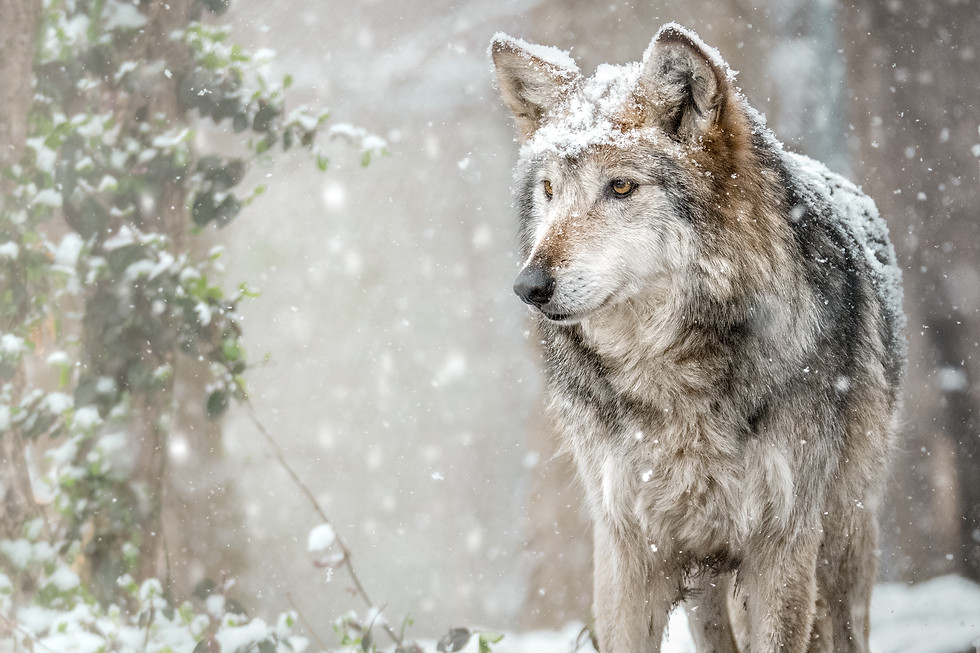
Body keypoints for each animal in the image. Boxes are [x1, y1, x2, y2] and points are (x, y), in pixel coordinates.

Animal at [490, 23, 906, 653]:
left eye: (620, 187)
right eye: (550, 190)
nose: (528, 286)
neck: (672, 375)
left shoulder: (781, 547)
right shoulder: (628, 547)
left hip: (842, 547)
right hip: (708, 583)